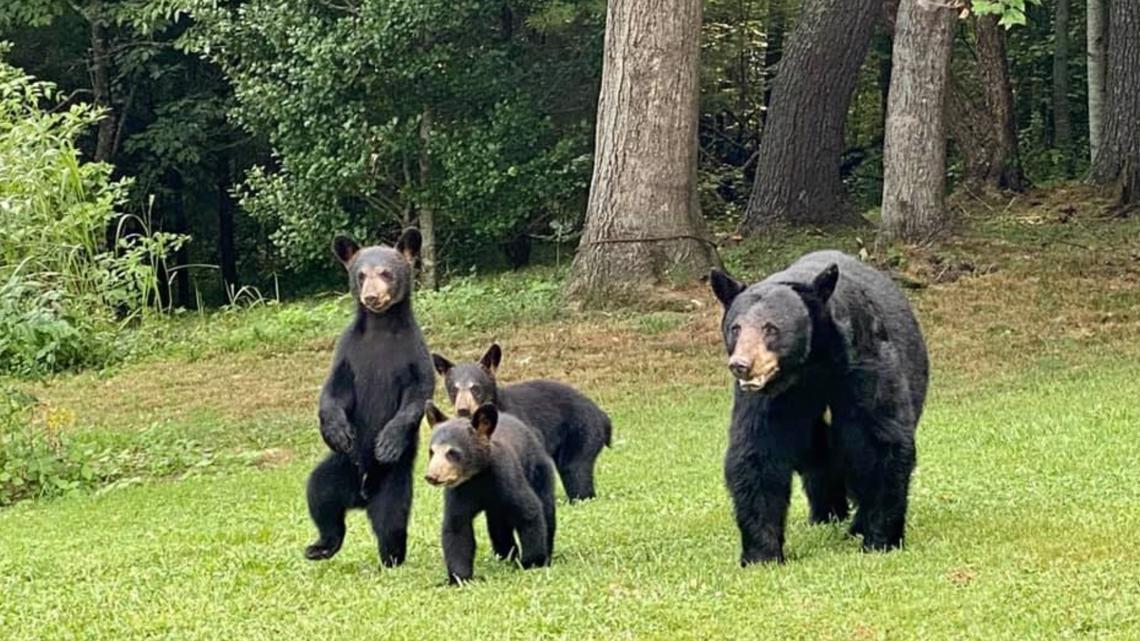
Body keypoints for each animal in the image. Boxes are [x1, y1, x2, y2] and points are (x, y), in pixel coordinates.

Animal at [305, 228, 433, 563]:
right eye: (360, 274)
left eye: (386, 273)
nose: (371, 297)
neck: (380, 328)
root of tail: (360, 497)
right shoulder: (348, 352)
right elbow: (333, 391)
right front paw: (337, 432)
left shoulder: (413, 354)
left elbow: (418, 395)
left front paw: (387, 442)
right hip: (337, 469)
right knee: (320, 498)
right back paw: (321, 546)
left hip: (393, 483)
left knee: (391, 522)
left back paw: (392, 557)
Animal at [424, 401, 556, 581]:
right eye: (432, 451)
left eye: (452, 452)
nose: (432, 476)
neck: (478, 476)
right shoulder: (459, 491)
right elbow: (457, 527)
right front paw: (460, 578)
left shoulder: (506, 478)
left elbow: (529, 511)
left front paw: (531, 562)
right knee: (497, 526)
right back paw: (506, 556)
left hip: (539, 470)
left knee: (546, 508)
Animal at [428, 342, 611, 501]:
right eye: (454, 389)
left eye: (475, 388)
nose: (463, 409)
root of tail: (602, 416)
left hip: (583, 432)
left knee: (575, 471)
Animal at [706, 249, 930, 563]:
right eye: (735, 328)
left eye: (771, 328)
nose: (741, 365)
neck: (810, 367)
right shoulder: (768, 398)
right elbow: (758, 451)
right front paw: (762, 554)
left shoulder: (864, 365)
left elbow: (878, 442)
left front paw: (879, 539)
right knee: (820, 464)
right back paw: (825, 516)